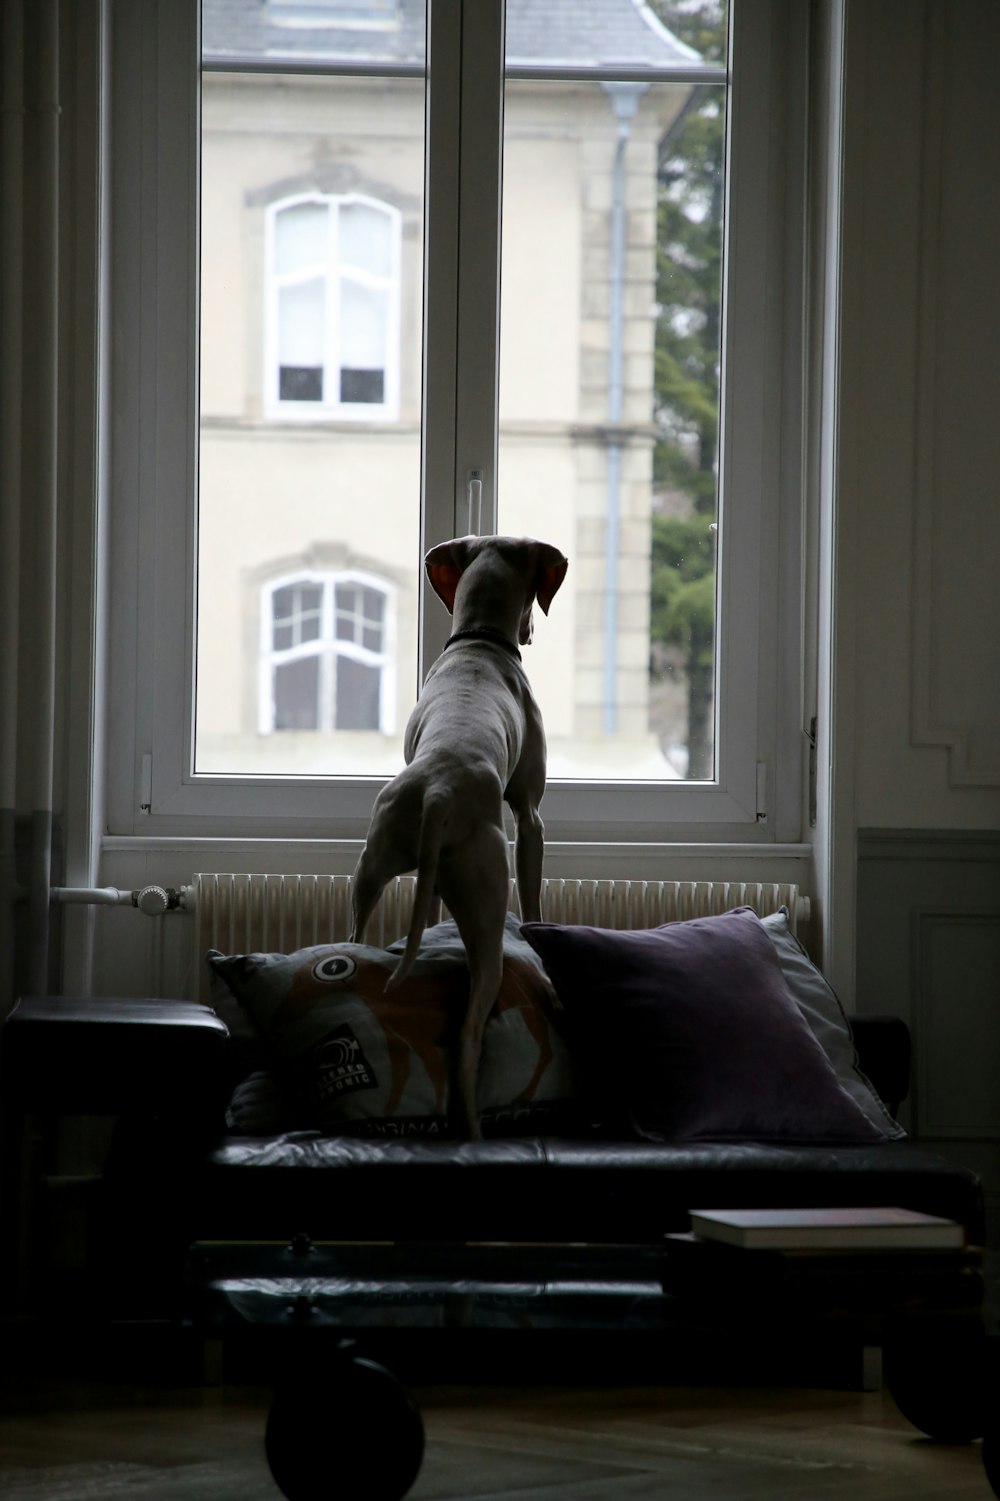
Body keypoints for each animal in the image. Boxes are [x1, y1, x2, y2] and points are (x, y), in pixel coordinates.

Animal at [349, 534, 567, 1128]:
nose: (532, 633)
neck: (478, 644)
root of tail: (439, 794)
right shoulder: (529, 816)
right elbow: (535, 897)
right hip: (488, 901)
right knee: (470, 1030)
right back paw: (470, 1123)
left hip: (373, 864)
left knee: (356, 931)